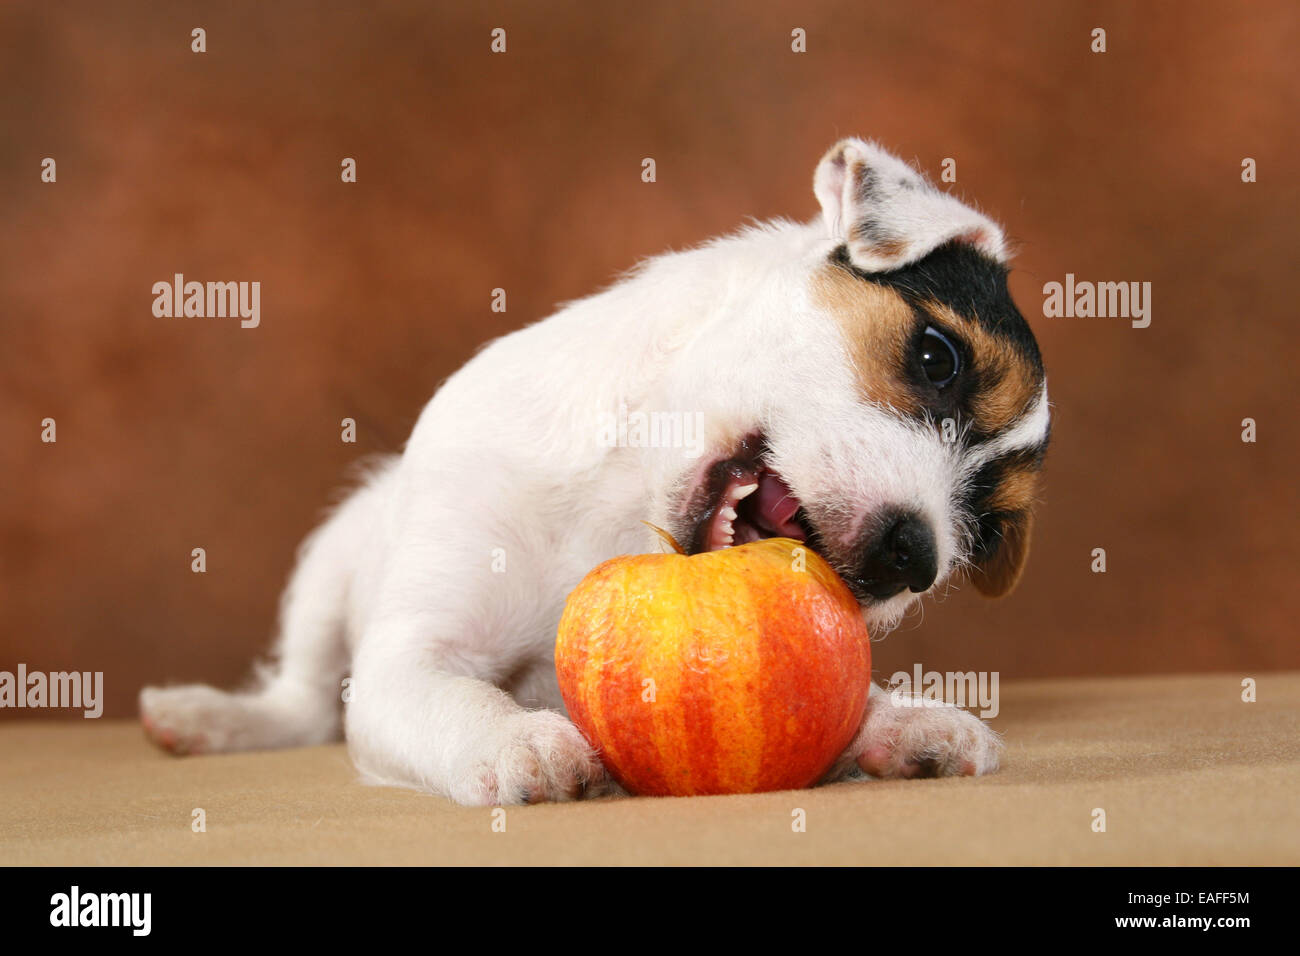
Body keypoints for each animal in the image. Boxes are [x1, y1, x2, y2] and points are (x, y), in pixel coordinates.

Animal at [142, 138, 1050, 806]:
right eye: (936, 357)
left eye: (987, 527)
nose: (915, 557)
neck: (621, 508)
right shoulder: (409, 660)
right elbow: (453, 695)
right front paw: (516, 737)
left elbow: (848, 701)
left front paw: (901, 722)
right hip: (329, 561)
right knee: (299, 699)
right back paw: (211, 718)